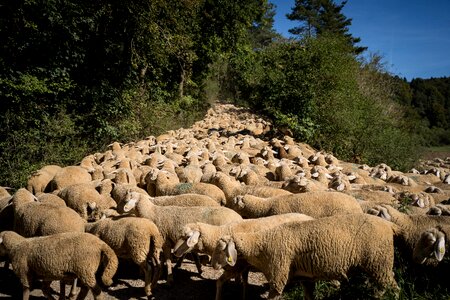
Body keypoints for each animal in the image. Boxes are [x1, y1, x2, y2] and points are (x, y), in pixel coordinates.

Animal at [210, 213, 398, 300]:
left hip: (379, 262)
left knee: (393, 287)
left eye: (220, 249)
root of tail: (390, 225)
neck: (262, 243)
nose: (212, 265)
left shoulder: (278, 276)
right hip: (379, 264)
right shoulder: (306, 278)